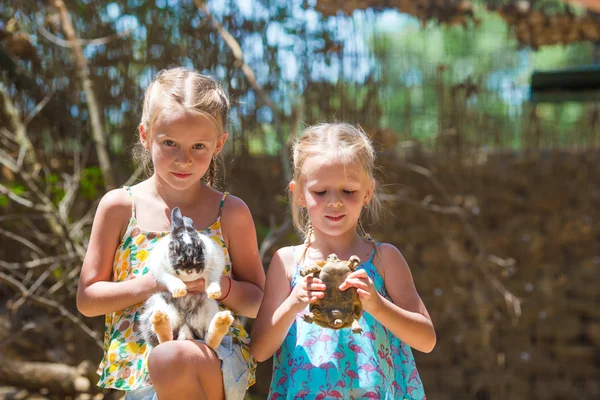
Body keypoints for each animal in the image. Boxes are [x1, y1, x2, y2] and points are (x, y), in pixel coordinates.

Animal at [140, 206, 232, 350]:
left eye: (200, 246)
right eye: (175, 248)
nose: (189, 268)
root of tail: (185, 331)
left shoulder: (215, 263)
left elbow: (212, 279)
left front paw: (214, 292)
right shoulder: (159, 268)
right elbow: (170, 278)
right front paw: (180, 291)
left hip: (208, 306)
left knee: (209, 339)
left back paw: (222, 321)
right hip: (155, 304)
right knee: (165, 339)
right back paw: (160, 320)